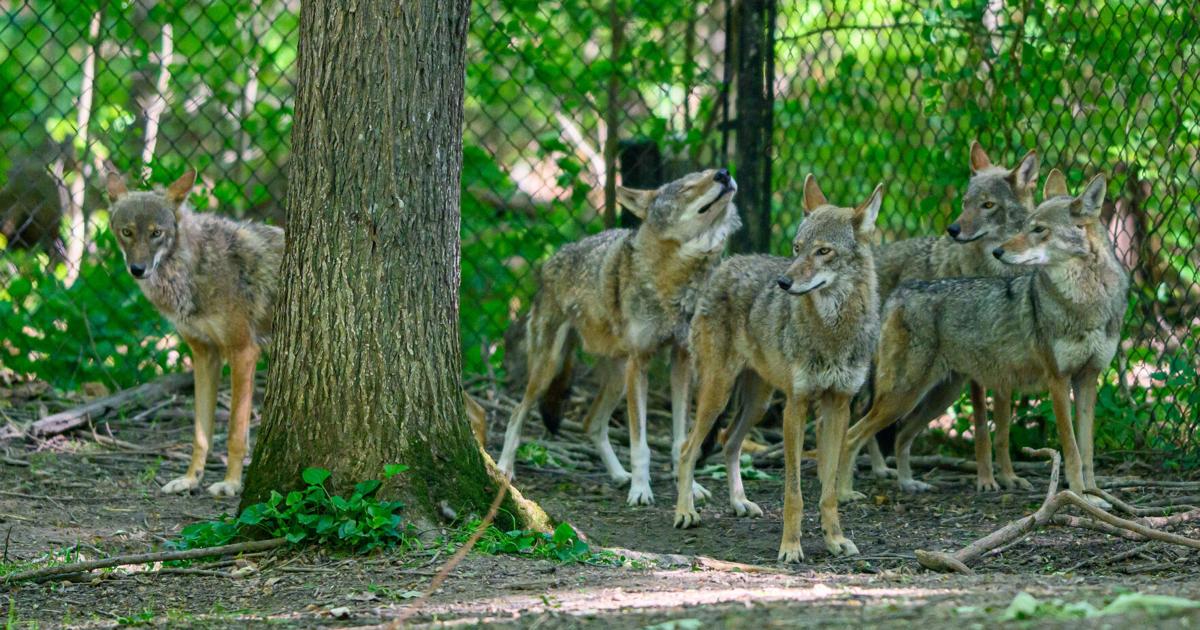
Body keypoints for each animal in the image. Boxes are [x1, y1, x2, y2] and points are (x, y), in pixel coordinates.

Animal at [106, 169, 284, 497]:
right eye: (127, 232)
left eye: (156, 233)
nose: (137, 269)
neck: (195, 267)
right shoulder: (204, 355)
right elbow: (200, 434)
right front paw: (190, 479)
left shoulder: (243, 352)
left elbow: (235, 433)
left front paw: (230, 483)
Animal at [496, 169, 740, 507]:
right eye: (688, 187)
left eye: (708, 173)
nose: (723, 173)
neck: (675, 279)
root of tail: (551, 261)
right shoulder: (641, 362)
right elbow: (640, 444)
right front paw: (641, 490)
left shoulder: (681, 361)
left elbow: (680, 439)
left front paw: (688, 487)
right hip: (552, 367)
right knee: (517, 412)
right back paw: (503, 468)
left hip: (617, 377)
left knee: (592, 423)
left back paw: (618, 475)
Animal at [673, 175, 881, 562]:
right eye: (797, 248)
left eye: (823, 251)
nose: (783, 283)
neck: (833, 331)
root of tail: (725, 264)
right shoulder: (795, 407)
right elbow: (794, 493)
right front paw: (791, 547)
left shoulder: (838, 406)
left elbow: (829, 489)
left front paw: (834, 539)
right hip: (718, 393)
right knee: (686, 449)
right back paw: (685, 512)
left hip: (758, 402)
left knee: (729, 442)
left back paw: (739, 503)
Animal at [837, 172, 1127, 504]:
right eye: (1025, 226)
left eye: (1039, 230)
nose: (999, 252)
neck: (1087, 302)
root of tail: (899, 293)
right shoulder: (1058, 381)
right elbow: (1072, 450)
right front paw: (1078, 495)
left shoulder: (1088, 380)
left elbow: (1087, 450)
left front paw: (1093, 495)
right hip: (904, 395)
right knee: (852, 435)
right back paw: (844, 493)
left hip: (937, 396)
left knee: (900, 434)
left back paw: (909, 483)